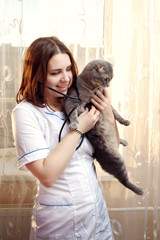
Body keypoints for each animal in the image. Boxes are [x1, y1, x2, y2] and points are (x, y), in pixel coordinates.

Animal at [63, 59, 144, 195]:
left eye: (111, 79)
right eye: (106, 79)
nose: (108, 85)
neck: (93, 89)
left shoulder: (107, 104)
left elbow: (115, 113)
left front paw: (125, 121)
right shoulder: (73, 102)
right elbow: (73, 115)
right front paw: (74, 124)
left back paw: (123, 141)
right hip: (117, 162)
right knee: (124, 181)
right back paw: (139, 190)